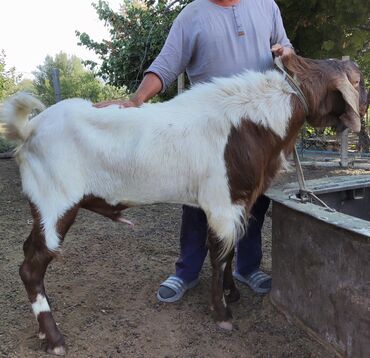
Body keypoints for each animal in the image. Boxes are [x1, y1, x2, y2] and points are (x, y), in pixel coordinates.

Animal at [0, 53, 368, 356]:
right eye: (360, 81)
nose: (364, 107)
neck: (255, 122)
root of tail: (29, 130)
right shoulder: (222, 201)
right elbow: (218, 253)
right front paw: (222, 312)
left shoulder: (238, 203)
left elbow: (231, 249)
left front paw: (231, 292)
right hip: (55, 200)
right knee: (31, 267)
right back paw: (55, 339)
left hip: (42, 205)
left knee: (29, 250)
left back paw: (44, 334)